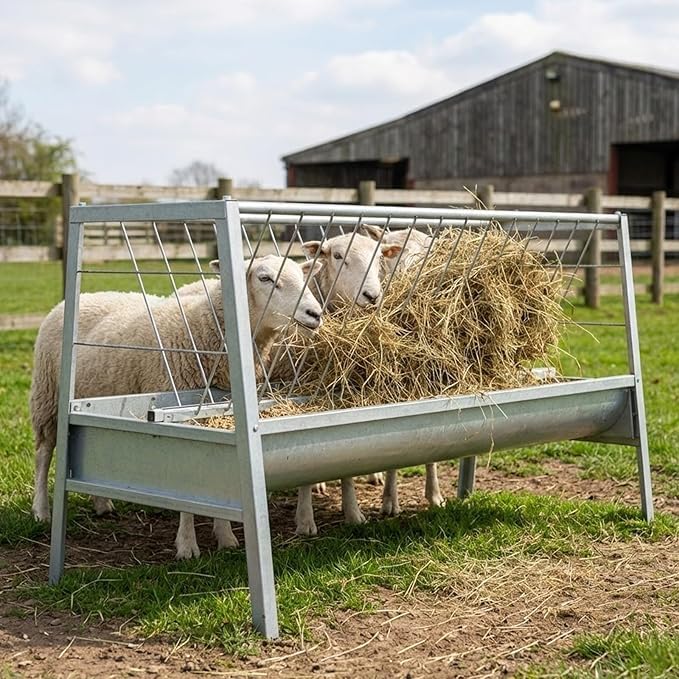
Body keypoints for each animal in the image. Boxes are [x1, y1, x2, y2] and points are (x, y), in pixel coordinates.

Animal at [30, 254, 323, 560]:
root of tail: (78, 297)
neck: (204, 330)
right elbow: (187, 495)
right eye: (265, 278)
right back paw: (41, 511)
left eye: (303, 277)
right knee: (43, 453)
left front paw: (226, 537)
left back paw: (102, 505)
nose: (315, 313)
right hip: (48, 397)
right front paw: (187, 546)